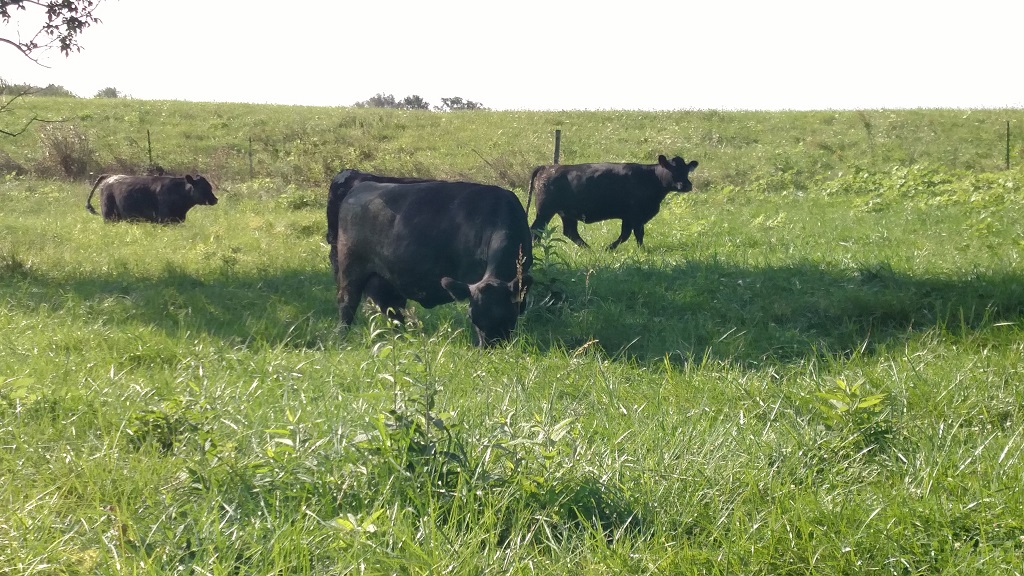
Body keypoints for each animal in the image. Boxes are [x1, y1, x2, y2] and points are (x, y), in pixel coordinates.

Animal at [85, 174, 218, 223]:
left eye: (210, 187)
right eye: (203, 188)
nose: (215, 199)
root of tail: (109, 176)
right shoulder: (165, 219)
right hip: (109, 217)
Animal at [332, 179, 533, 347]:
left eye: (508, 316)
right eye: (473, 318)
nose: (491, 347)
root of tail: (361, 187)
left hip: (387, 281)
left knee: (393, 310)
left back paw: (403, 339)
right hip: (351, 269)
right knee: (347, 303)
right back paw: (342, 339)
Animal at [526, 155, 699, 250]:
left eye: (686, 171)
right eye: (672, 169)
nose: (686, 185)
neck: (651, 178)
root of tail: (548, 167)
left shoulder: (630, 217)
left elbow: (627, 234)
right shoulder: (635, 215)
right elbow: (635, 234)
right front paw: (639, 250)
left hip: (566, 213)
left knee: (570, 232)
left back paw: (589, 249)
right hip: (545, 211)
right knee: (536, 230)